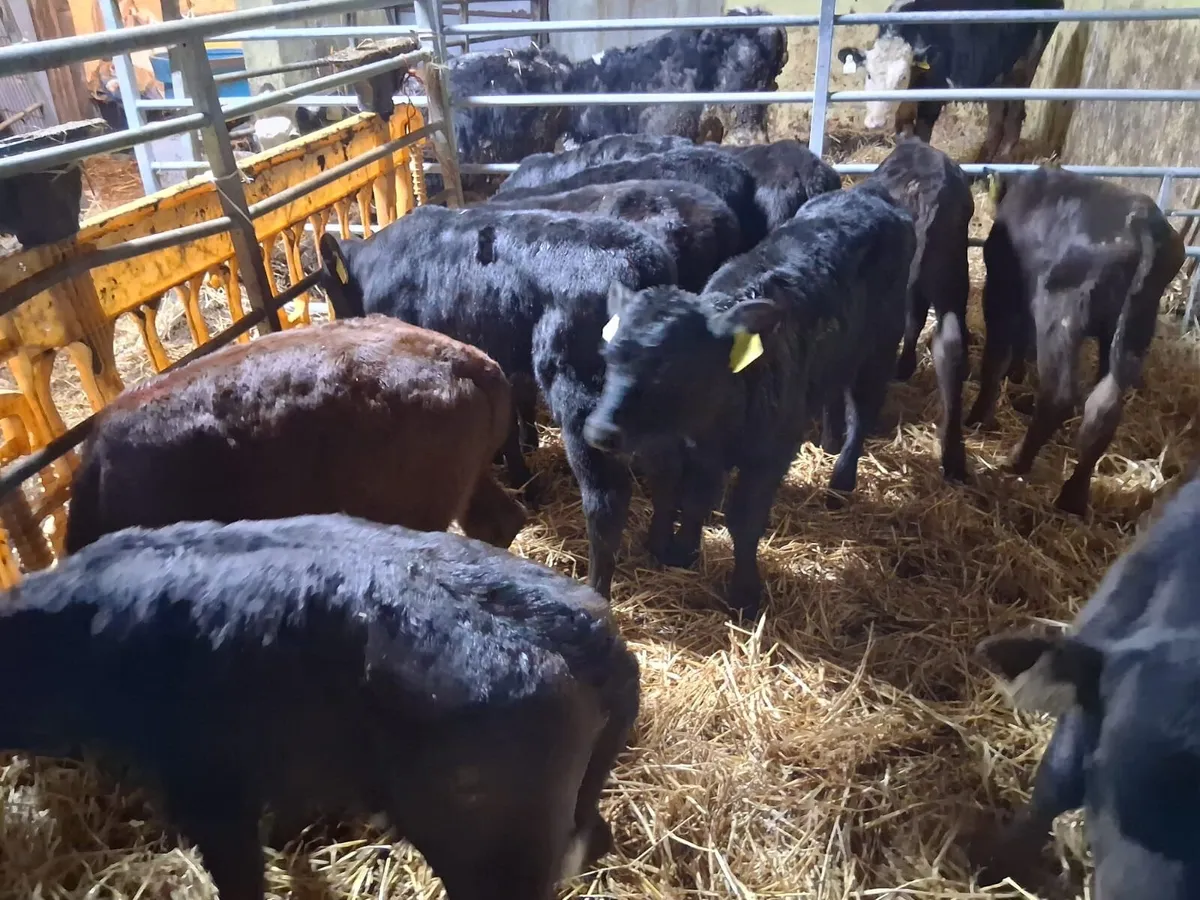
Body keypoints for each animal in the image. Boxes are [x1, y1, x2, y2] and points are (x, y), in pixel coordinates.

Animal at [317, 204, 678, 598]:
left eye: (331, 290)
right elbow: (509, 428)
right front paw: (526, 482)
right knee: (669, 471)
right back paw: (661, 550)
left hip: (579, 393)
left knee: (606, 498)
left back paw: (596, 587)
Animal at [582, 184, 915, 619]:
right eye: (608, 355)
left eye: (671, 366)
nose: (599, 430)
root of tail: (868, 193)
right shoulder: (698, 451)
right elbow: (695, 499)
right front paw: (683, 551)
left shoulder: (769, 454)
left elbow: (743, 519)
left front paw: (744, 593)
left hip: (881, 344)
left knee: (863, 410)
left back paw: (841, 481)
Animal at [837, 0, 1062, 162]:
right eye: (869, 74)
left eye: (902, 77)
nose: (875, 122)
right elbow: (903, 135)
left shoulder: (933, 98)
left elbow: (922, 136)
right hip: (996, 75)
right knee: (997, 121)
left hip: (1024, 66)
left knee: (1014, 116)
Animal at [964, 166, 1186, 515]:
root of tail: (1141, 223)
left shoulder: (1001, 290)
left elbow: (996, 357)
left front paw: (977, 418)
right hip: (1133, 328)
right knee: (1103, 408)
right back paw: (1073, 497)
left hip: (1060, 315)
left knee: (1059, 395)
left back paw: (1016, 461)